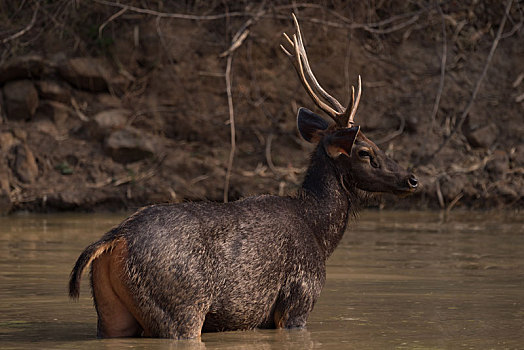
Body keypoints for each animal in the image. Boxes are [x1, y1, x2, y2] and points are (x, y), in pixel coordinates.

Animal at [68, 13, 418, 340]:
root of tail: (115, 239)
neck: (319, 232)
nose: (411, 179)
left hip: (112, 317)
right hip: (181, 307)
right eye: (365, 151)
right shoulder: (298, 299)